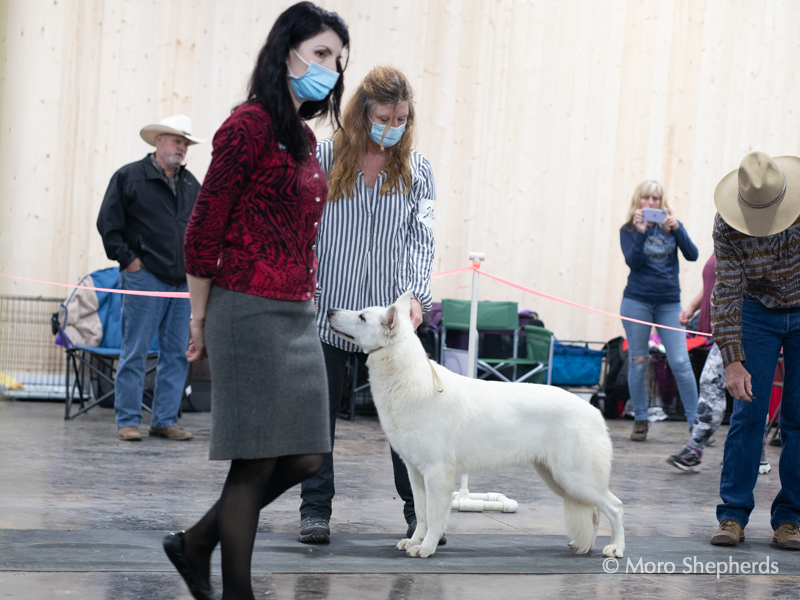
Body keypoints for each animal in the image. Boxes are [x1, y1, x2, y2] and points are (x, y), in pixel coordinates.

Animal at [326, 290, 624, 556]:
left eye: (362, 317)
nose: (328, 311)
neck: (407, 378)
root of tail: (594, 412)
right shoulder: (416, 473)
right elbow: (421, 513)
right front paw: (414, 541)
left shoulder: (437, 473)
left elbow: (435, 516)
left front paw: (426, 548)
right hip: (558, 478)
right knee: (595, 513)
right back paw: (584, 546)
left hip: (575, 478)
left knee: (615, 507)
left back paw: (616, 549)